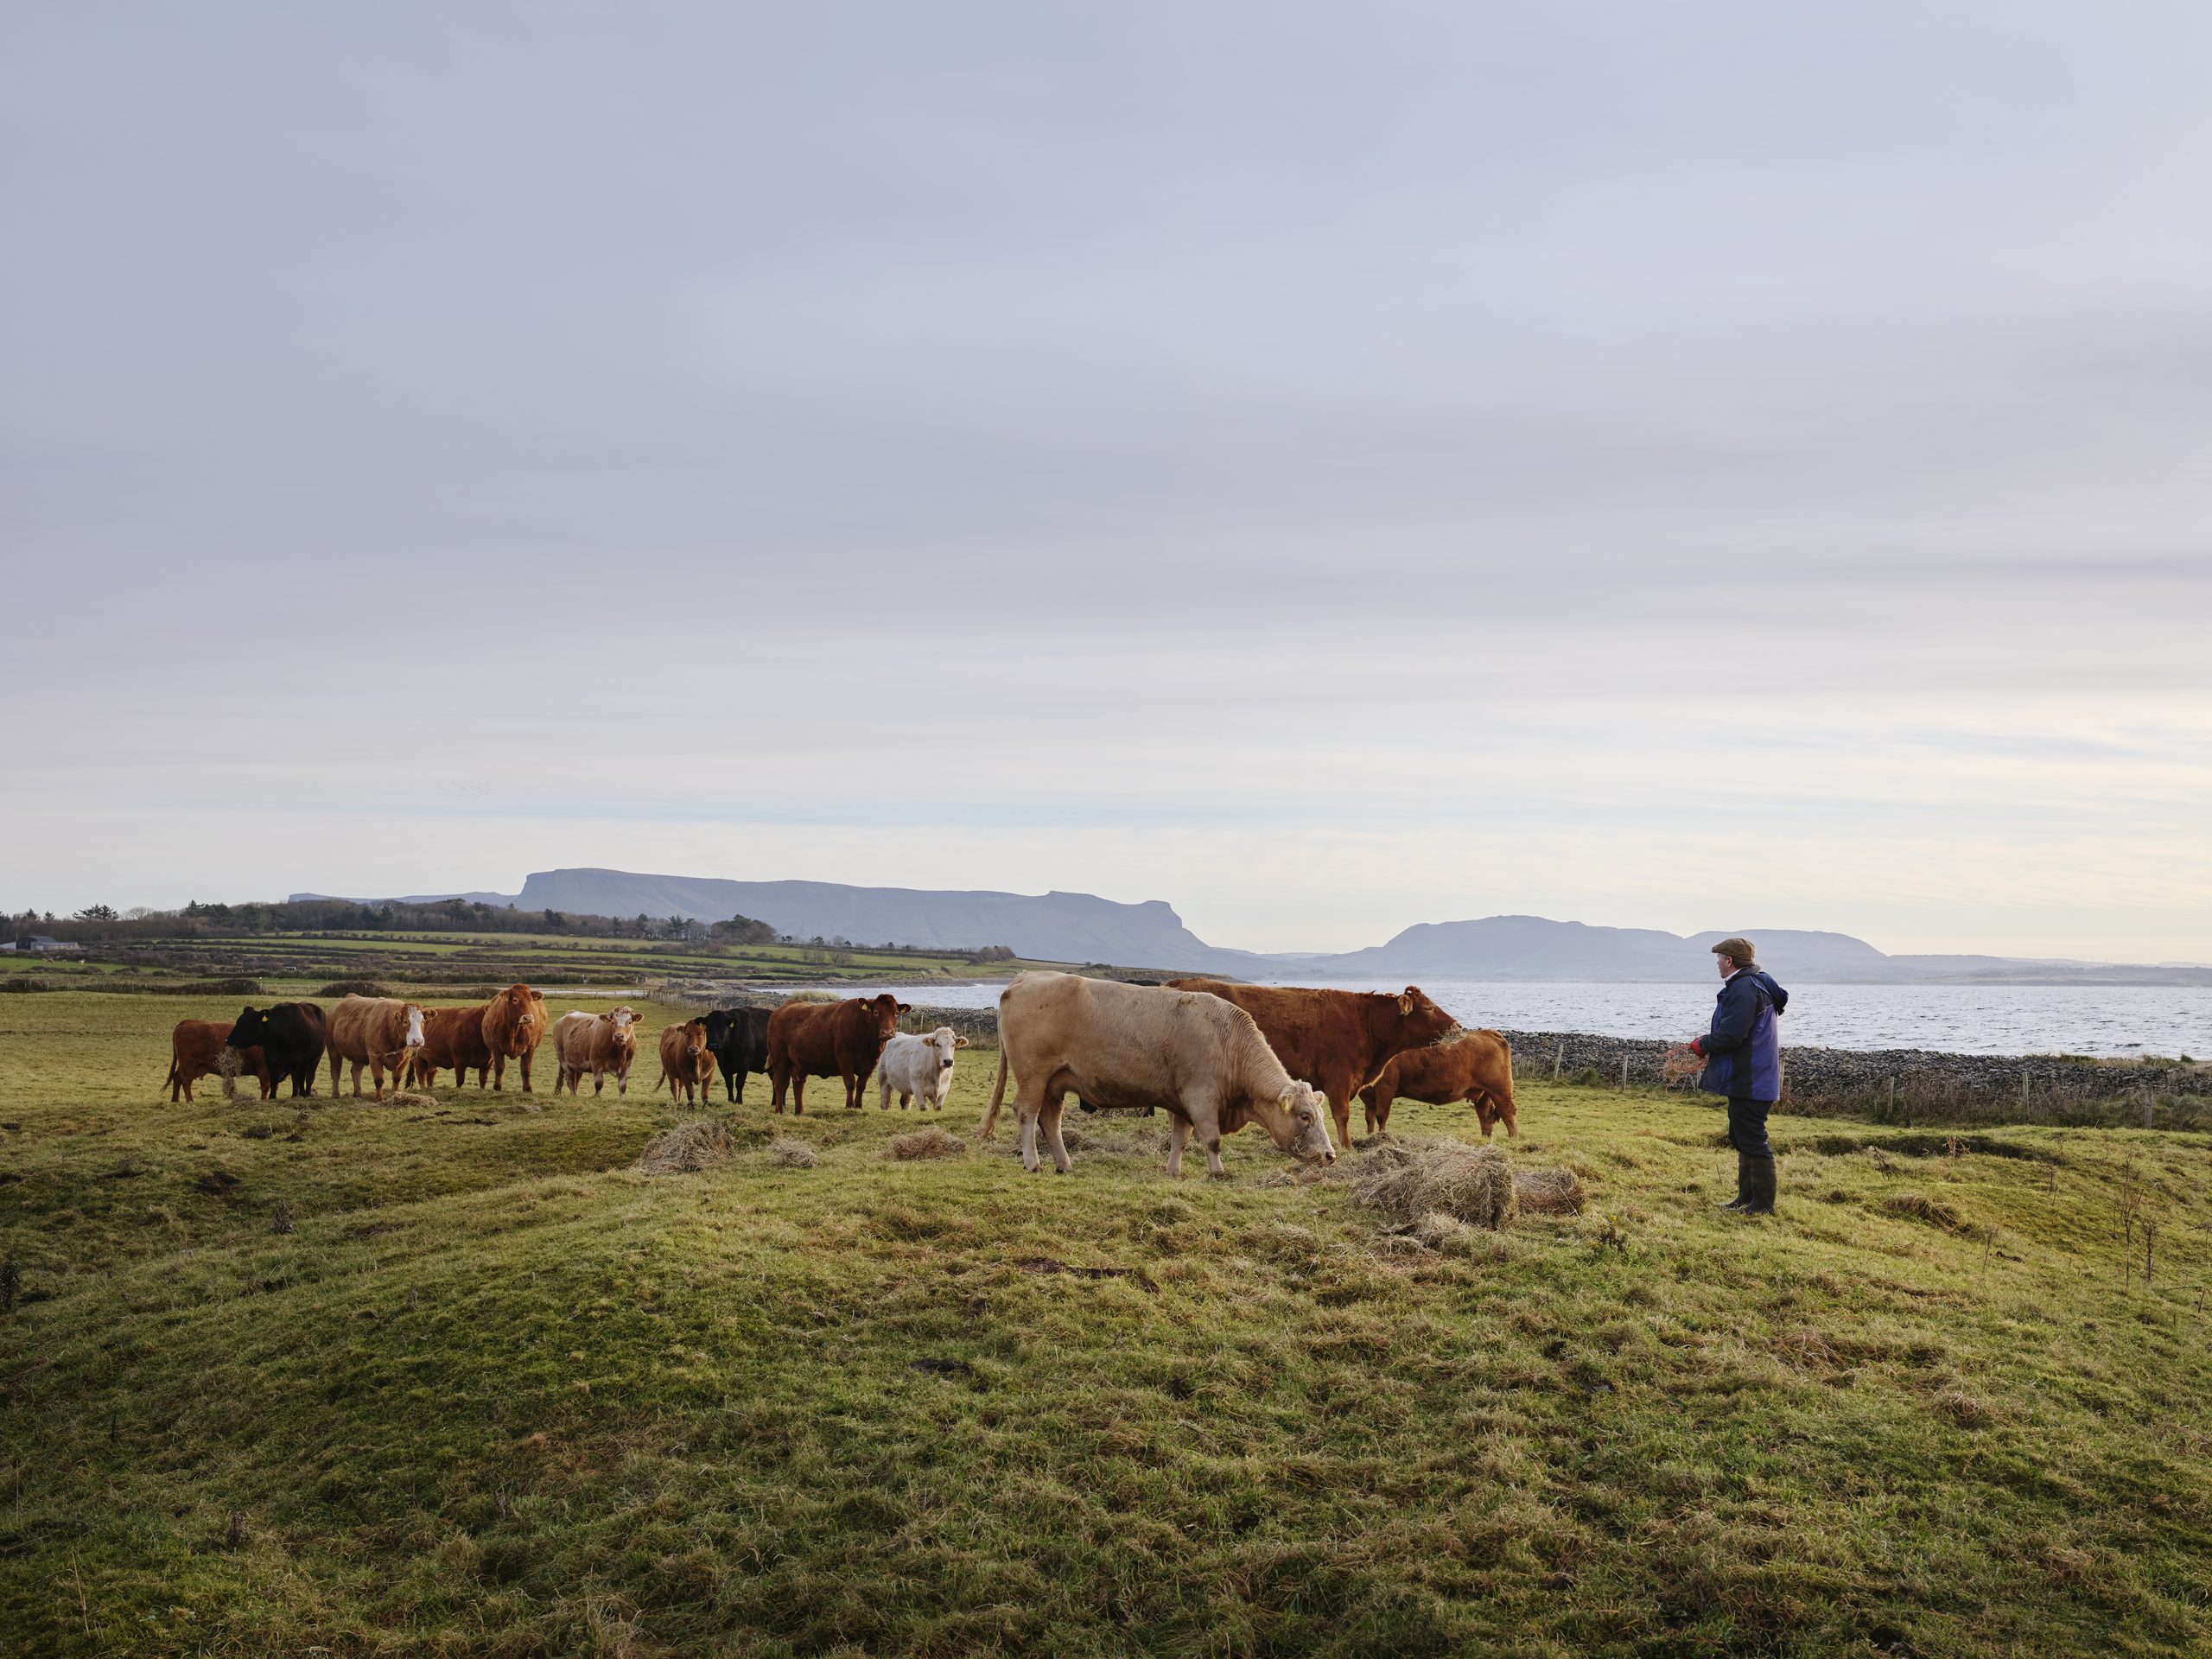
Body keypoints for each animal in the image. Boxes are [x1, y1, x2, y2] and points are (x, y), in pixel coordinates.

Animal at [769, 1000, 906, 1119]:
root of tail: (784, 1007)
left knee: (797, 1084)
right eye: (876, 1012)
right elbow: (850, 1083)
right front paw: (849, 1106)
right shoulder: (844, 1058)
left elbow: (861, 1085)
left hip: (799, 1064)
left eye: (896, 1013)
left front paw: (859, 1106)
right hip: (780, 1059)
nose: (887, 1032)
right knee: (780, 1083)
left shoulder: (871, 1064)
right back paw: (779, 1110)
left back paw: (799, 1111)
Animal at [982, 973, 1327, 1185]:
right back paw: (1033, 1162)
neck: (1227, 1040)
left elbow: (1181, 1140)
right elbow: (1212, 1140)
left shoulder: (1183, 1102)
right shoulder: (1202, 1097)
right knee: (1027, 1114)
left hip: (1055, 1084)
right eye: (1304, 1116)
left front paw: (1174, 1171)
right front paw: (1217, 1173)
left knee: (1051, 1122)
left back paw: (1064, 1164)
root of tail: (1024, 978)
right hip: (1034, 1076)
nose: (1330, 1155)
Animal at [1167, 973, 1459, 1159]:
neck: (1365, 1022)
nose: (1458, 1026)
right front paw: (1347, 1147)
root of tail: (1180, 983)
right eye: (1428, 1008)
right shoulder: (1339, 1078)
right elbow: (1342, 1115)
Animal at [1362, 1026, 1522, 1141]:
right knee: (1485, 1115)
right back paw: (1485, 1139)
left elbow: (1381, 1116)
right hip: (1483, 1092)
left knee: (1508, 1111)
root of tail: (1488, 1033)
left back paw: (1514, 1138)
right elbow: (1369, 1118)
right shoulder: (1369, 1097)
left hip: (1500, 1088)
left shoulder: (1385, 1088)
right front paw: (1369, 1137)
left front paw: (1381, 1139)